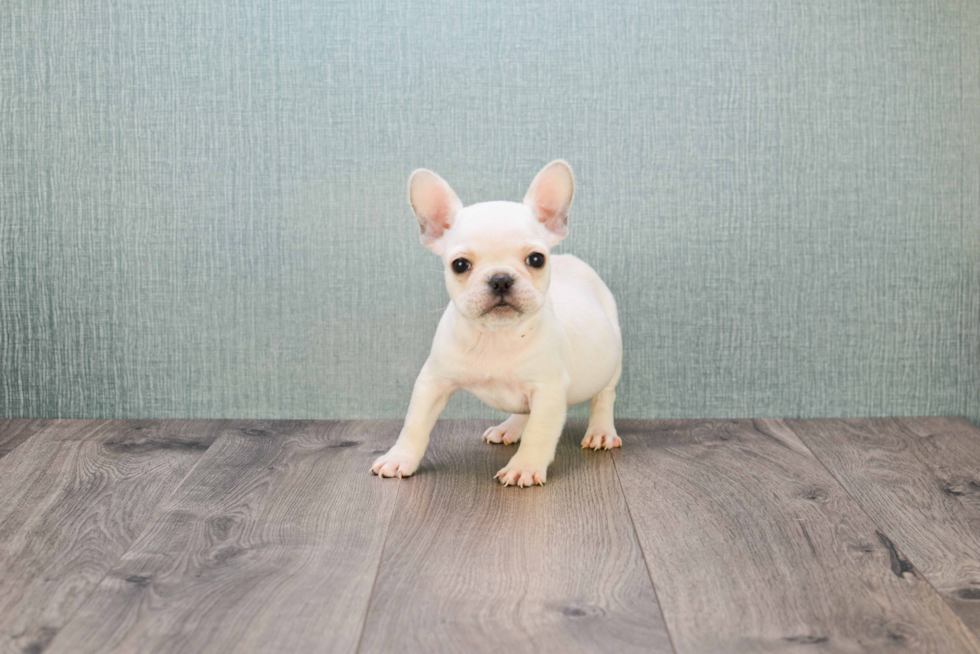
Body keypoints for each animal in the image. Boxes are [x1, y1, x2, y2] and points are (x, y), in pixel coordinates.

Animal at [372, 160, 624, 486]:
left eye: (536, 259)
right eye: (460, 265)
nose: (501, 279)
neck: (496, 335)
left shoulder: (548, 389)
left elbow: (539, 433)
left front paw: (525, 467)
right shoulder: (433, 381)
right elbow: (414, 424)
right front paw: (399, 458)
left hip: (613, 358)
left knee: (604, 397)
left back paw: (601, 432)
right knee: (523, 411)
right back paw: (510, 428)